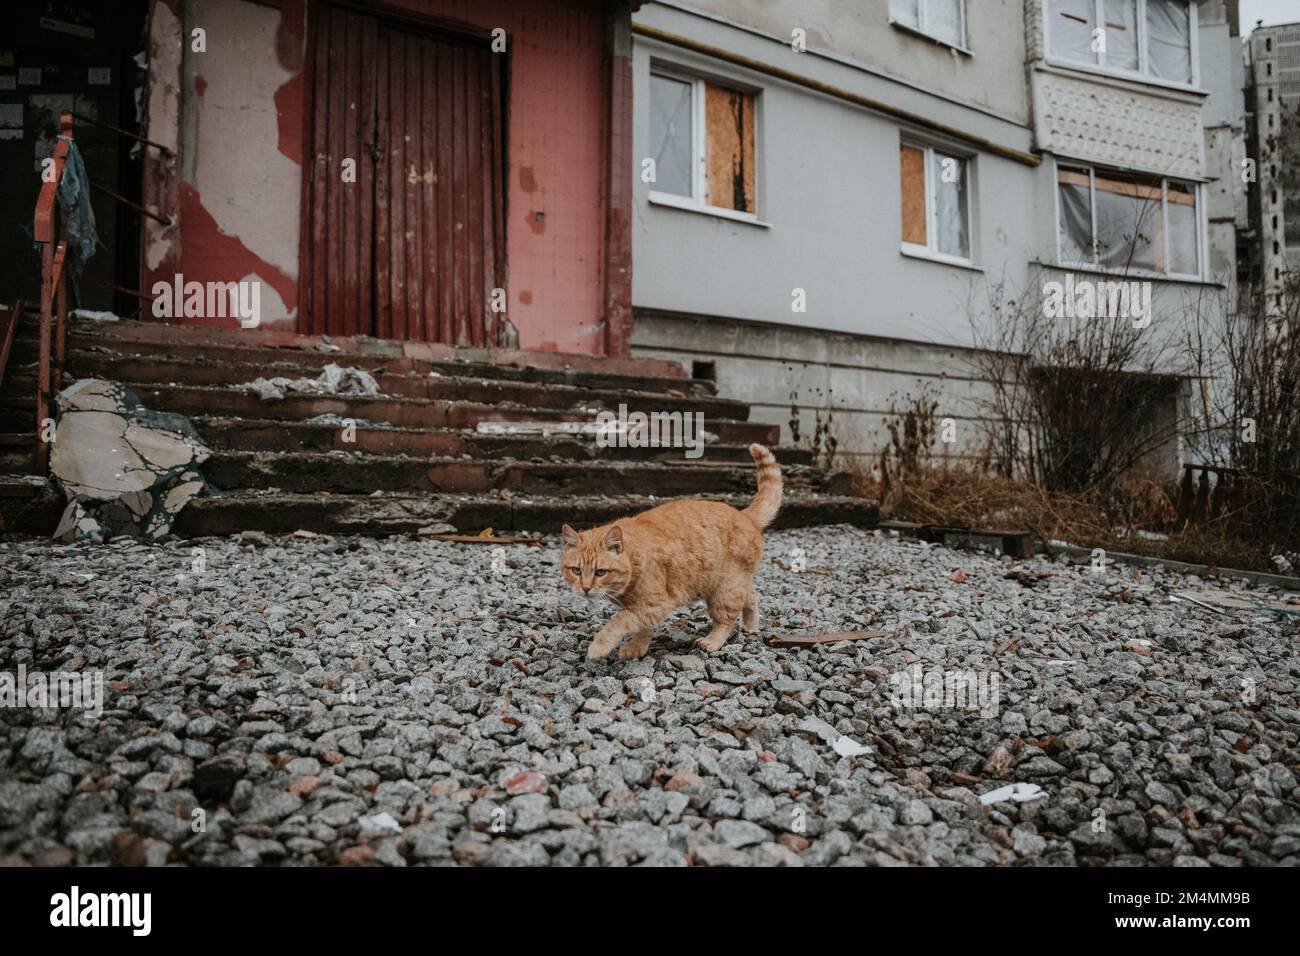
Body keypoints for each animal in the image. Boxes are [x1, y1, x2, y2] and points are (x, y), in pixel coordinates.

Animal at [559, 447, 780, 658]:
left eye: (600, 572)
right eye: (576, 570)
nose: (585, 588)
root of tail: (745, 515)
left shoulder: (654, 603)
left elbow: (620, 620)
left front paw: (599, 646)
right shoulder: (646, 609)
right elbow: (641, 626)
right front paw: (637, 647)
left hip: (725, 589)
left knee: (726, 619)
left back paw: (712, 641)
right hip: (734, 582)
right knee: (751, 595)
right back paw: (751, 626)